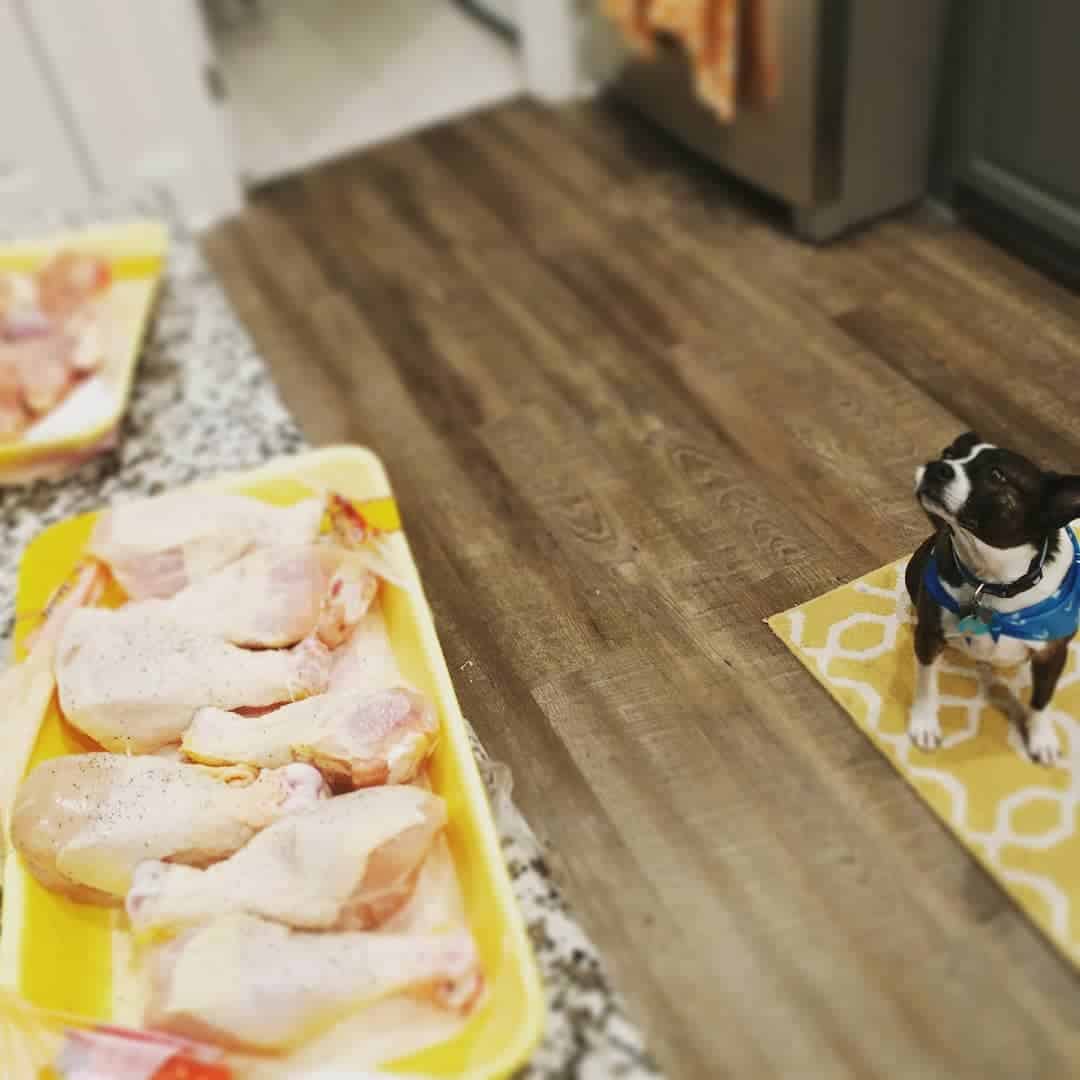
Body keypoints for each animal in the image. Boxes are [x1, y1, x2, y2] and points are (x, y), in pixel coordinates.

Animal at [902, 434, 1080, 764]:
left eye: (997, 476)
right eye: (948, 454)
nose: (937, 467)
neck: (993, 580)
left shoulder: (1052, 654)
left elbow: (1042, 699)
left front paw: (1042, 741)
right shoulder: (930, 634)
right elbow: (927, 681)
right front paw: (924, 725)